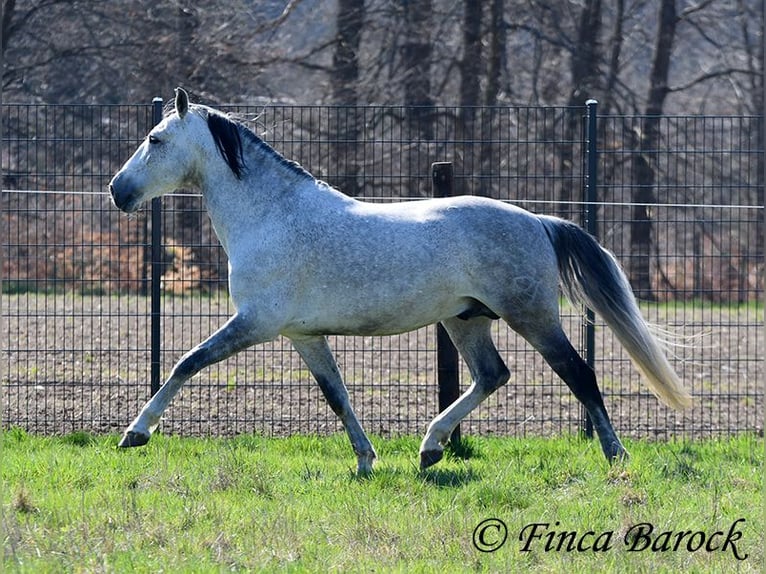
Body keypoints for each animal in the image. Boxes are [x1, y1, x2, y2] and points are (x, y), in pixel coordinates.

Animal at [109, 88, 691, 474]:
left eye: (155, 138)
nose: (118, 190)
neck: (273, 216)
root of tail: (539, 222)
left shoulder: (256, 323)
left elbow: (186, 363)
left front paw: (135, 434)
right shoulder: (302, 335)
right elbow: (336, 395)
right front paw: (366, 461)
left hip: (532, 316)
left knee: (579, 375)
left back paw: (616, 455)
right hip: (465, 320)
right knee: (492, 375)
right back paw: (430, 448)